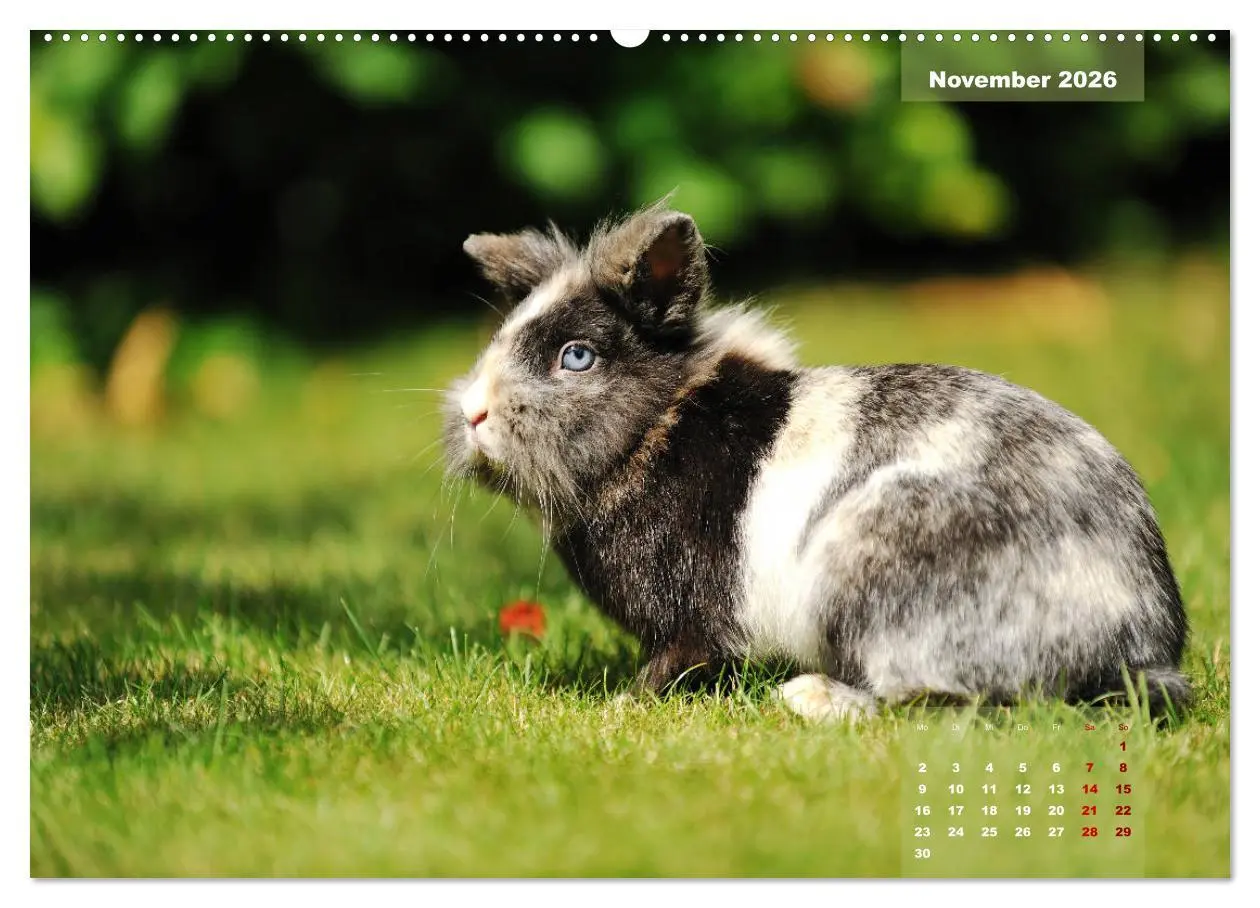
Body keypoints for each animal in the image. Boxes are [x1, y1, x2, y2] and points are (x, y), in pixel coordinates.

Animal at [443, 202, 1190, 721]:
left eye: (577, 357)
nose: (473, 412)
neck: (658, 426)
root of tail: (1138, 645)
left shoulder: (691, 618)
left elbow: (676, 660)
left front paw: (624, 705)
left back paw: (811, 698)